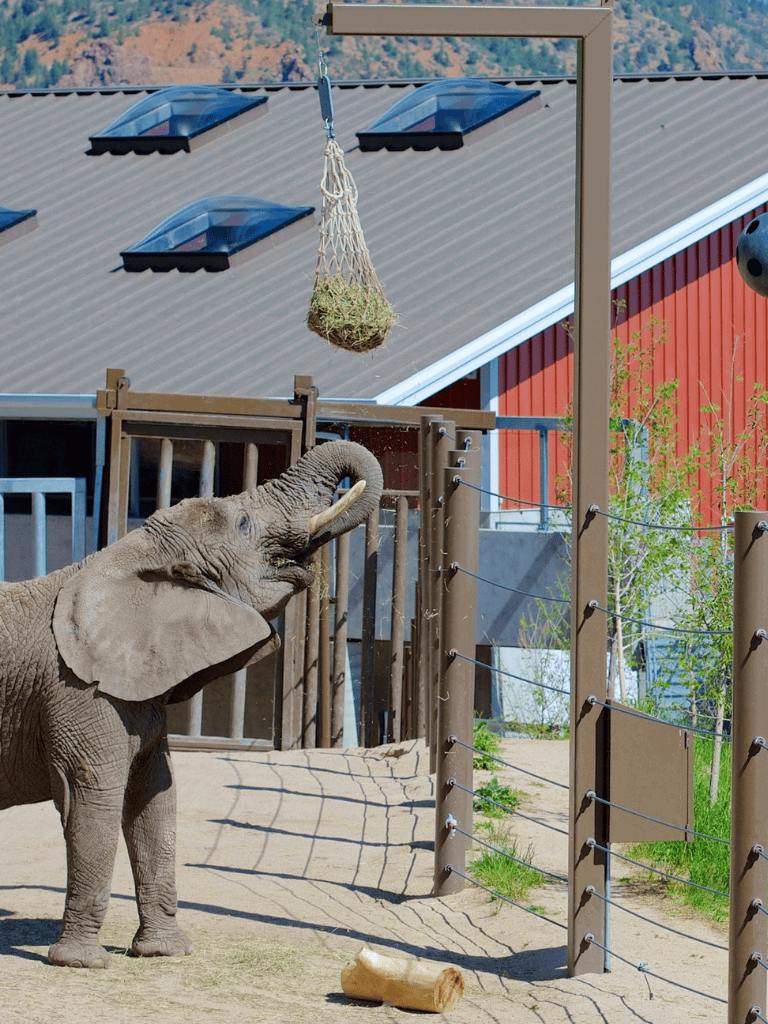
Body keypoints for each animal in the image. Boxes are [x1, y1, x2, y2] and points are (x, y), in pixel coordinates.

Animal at [0, 439, 382, 968]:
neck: (127, 554)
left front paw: (165, 953)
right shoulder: (76, 692)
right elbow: (93, 800)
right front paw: (80, 963)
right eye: (242, 524)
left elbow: (156, 800)